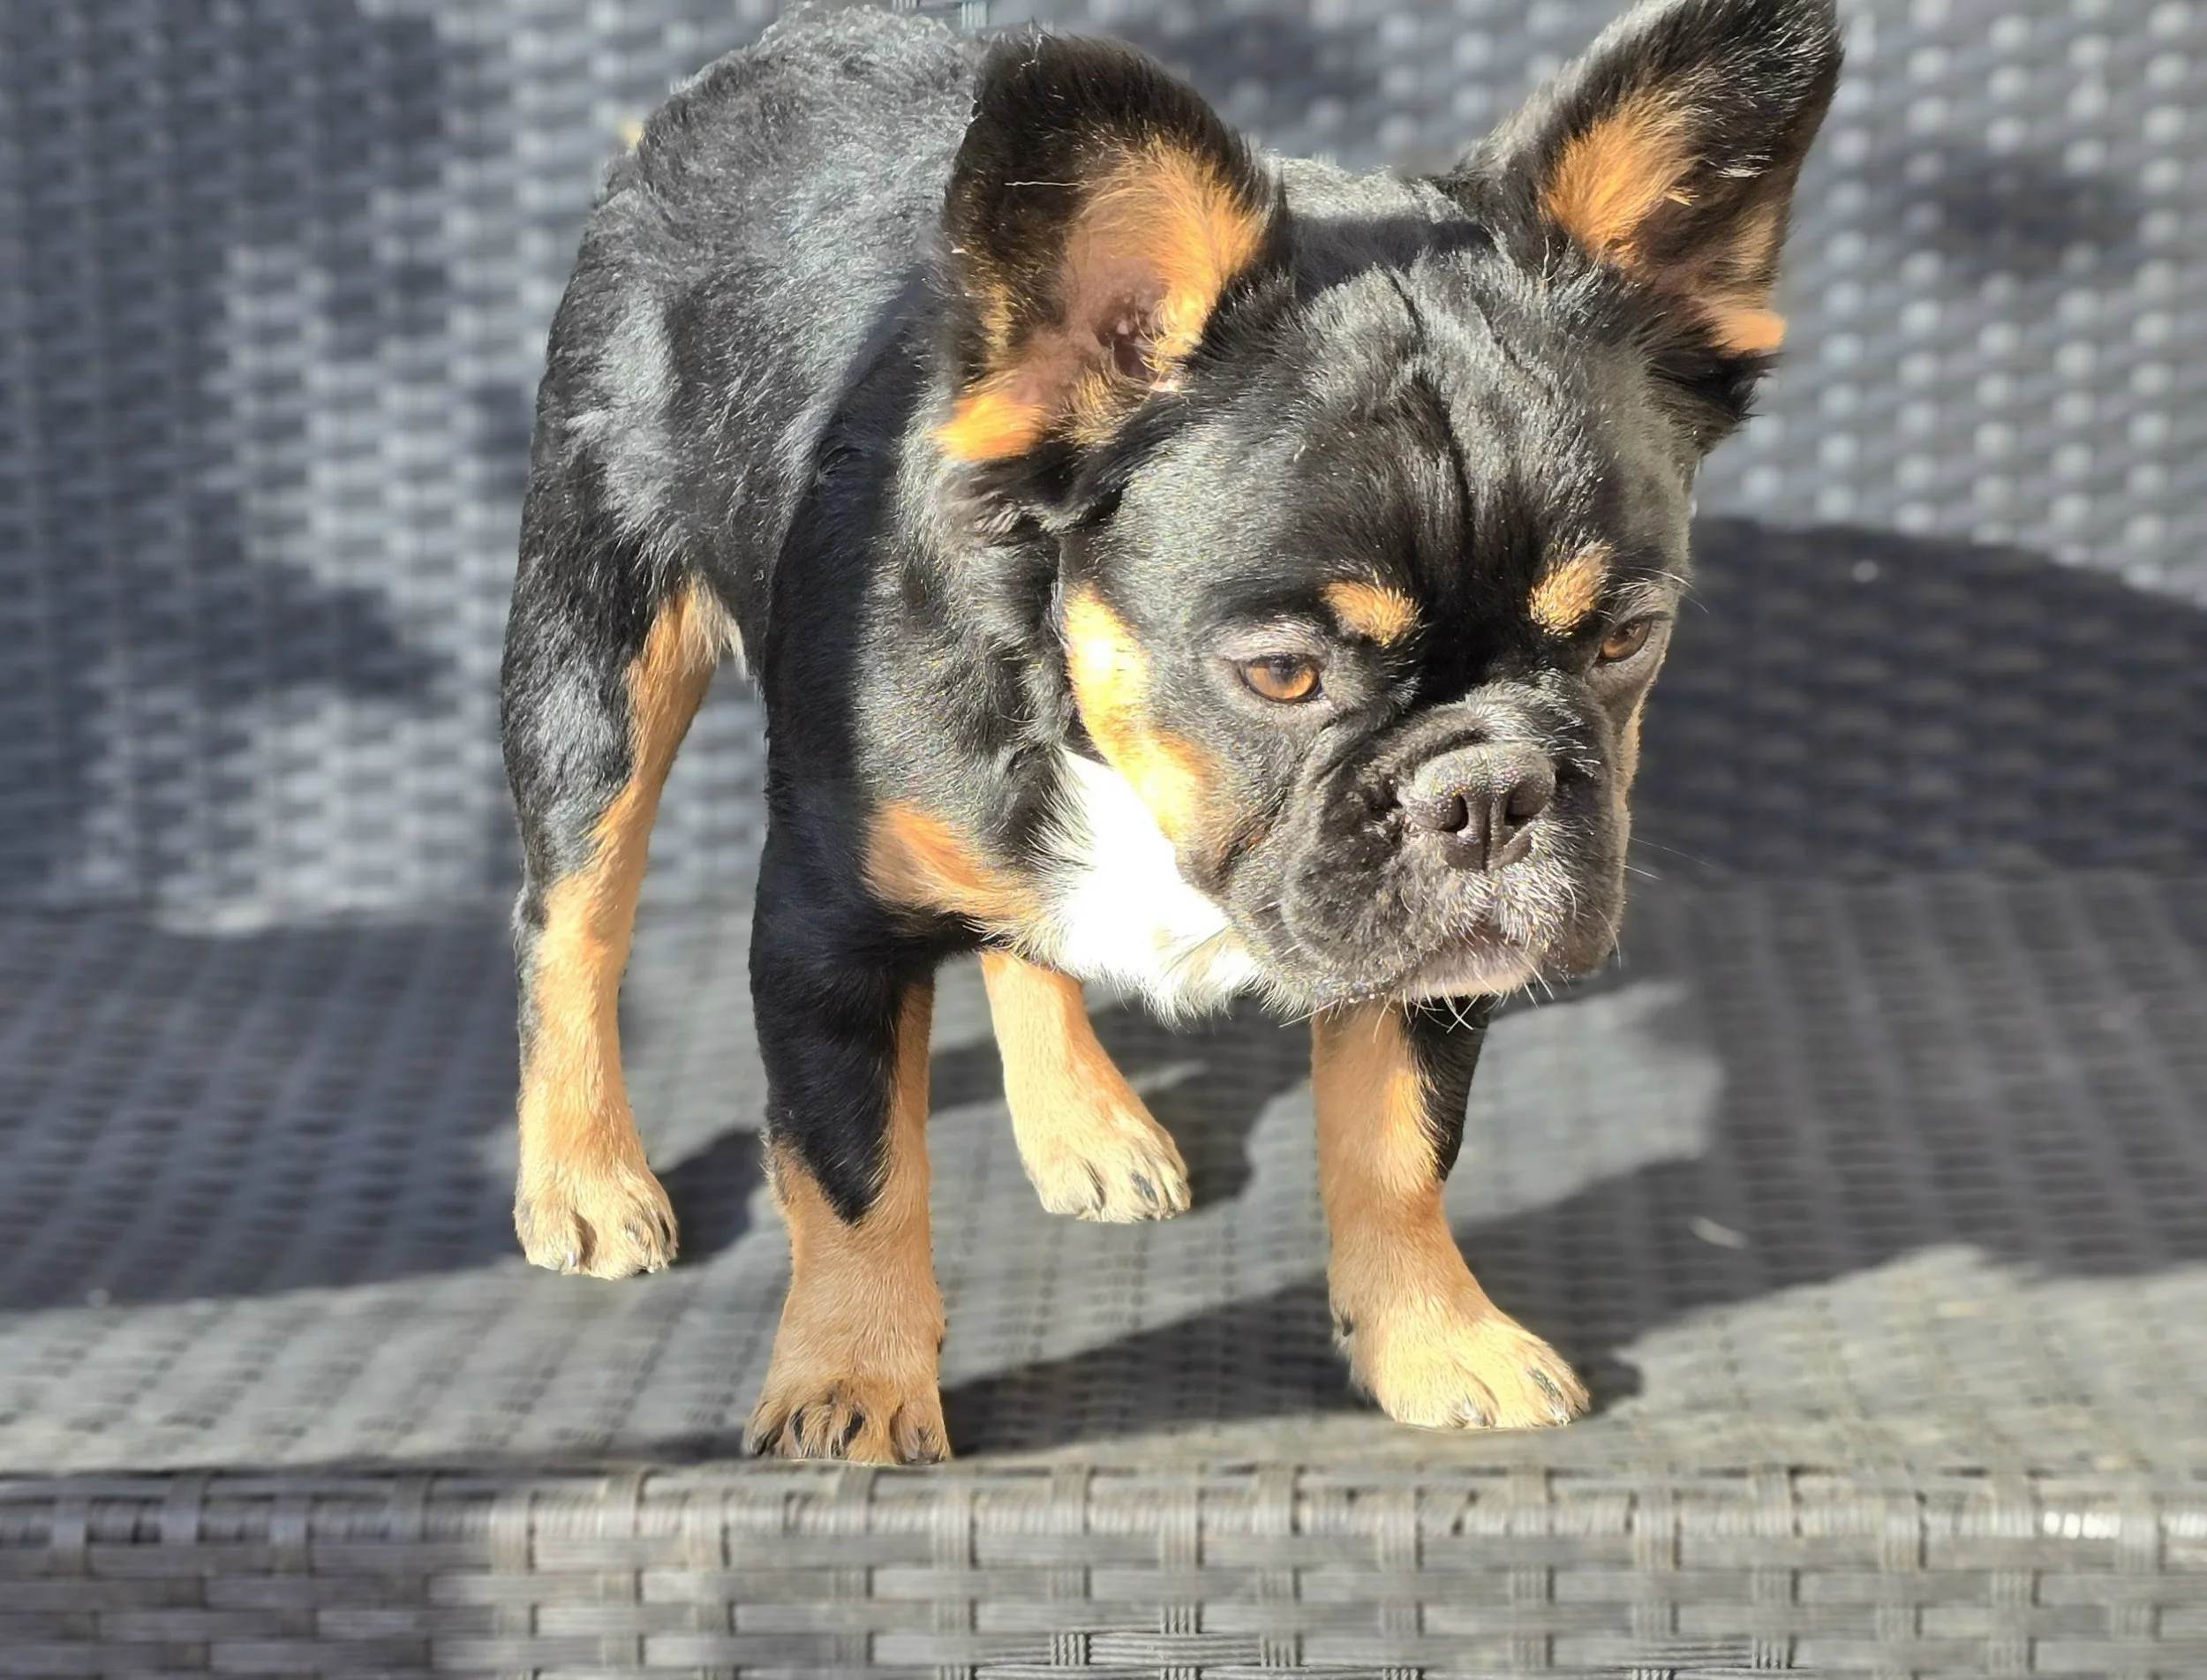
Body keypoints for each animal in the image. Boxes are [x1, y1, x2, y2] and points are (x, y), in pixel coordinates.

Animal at [500, 0, 1840, 1463]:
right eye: (1282, 674)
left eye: (1624, 639)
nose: (1491, 788)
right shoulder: (824, 925)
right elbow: (856, 1167)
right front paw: (852, 1375)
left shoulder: (1423, 948)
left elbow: (1399, 1140)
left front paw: (1432, 1333)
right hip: (595, 660)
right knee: (574, 918)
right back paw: (581, 1168)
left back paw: (1079, 1119)